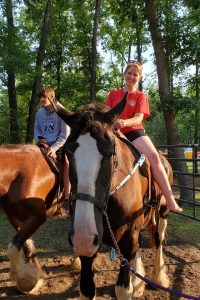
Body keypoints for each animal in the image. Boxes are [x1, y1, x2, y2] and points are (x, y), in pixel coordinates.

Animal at [0, 144, 67, 294]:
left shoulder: (37, 217)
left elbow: (13, 248)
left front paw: (26, 283)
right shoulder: (15, 218)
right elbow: (27, 245)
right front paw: (35, 278)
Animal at [52, 94, 173, 300]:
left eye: (109, 153)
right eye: (68, 152)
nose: (83, 237)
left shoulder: (127, 237)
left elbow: (123, 290)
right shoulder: (90, 244)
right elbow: (86, 288)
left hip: (161, 214)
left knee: (158, 240)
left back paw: (158, 277)